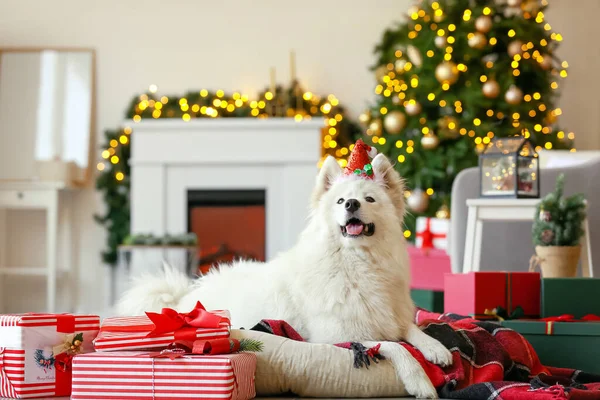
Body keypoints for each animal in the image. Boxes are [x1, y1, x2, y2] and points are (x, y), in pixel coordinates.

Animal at [117, 152, 450, 396]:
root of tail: (183, 297)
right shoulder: (335, 335)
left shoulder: (392, 315)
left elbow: (411, 330)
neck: (358, 264)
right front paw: (420, 381)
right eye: (341, 201)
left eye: (369, 199)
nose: (352, 204)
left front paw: (437, 349)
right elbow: (396, 346)